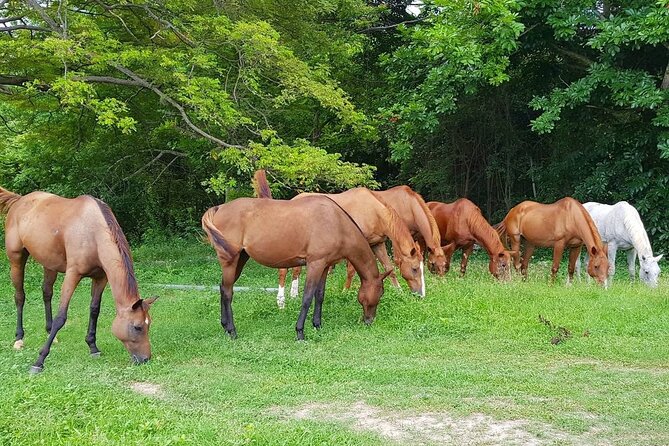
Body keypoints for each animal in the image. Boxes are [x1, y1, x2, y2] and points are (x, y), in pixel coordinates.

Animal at [0, 187, 156, 373]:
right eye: (137, 327)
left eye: (149, 325)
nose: (145, 359)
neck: (93, 233)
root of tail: (19, 200)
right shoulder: (72, 275)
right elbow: (61, 317)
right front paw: (39, 361)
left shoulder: (100, 277)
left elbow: (94, 310)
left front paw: (93, 347)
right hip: (16, 259)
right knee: (19, 297)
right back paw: (19, 338)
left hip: (49, 264)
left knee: (46, 293)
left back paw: (51, 334)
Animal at [201, 194, 392, 340]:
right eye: (380, 293)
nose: (369, 320)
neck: (336, 222)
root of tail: (219, 208)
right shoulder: (315, 264)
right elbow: (307, 297)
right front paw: (300, 332)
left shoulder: (324, 266)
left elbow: (319, 295)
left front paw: (317, 325)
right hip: (230, 261)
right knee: (228, 292)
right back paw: (232, 331)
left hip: (240, 259)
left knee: (223, 288)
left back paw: (225, 327)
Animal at [273, 187, 424, 307]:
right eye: (415, 268)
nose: (421, 295)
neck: (374, 211)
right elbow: (351, 271)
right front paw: (345, 292)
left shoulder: (377, 244)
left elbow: (389, 268)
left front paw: (399, 292)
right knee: (283, 271)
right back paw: (281, 301)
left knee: (296, 269)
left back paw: (294, 295)